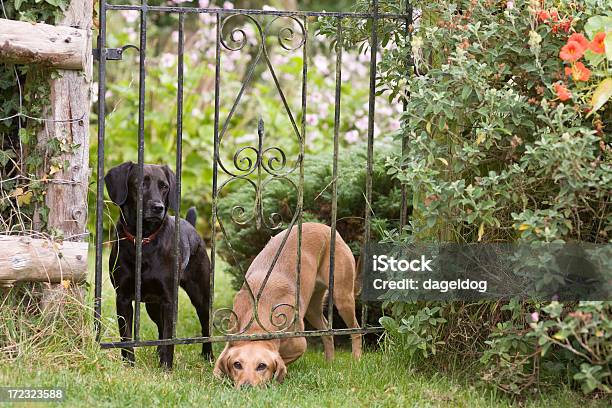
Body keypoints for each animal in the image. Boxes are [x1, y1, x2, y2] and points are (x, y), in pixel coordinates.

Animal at [104, 161, 212, 368]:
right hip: (152, 305)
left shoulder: (169, 300)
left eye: (164, 186)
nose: (158, 207)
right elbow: (126, 337)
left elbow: (170, 337)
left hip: (200, 296)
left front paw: (166, 368)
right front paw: (129, 366)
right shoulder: (122, 298)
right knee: (160, 327)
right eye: (140, 183)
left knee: (206, 327)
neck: (144, 240)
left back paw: (208, 355)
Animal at [214, 223, 360, 386]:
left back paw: (356, 359)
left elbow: (282, 360)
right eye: (237, 365)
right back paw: (330, 363)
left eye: (262, 366)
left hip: (343, 298)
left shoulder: (299, 345)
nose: (246, 387)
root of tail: (326, 227)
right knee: (327, 332)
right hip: (312, 309)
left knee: (356, 330)